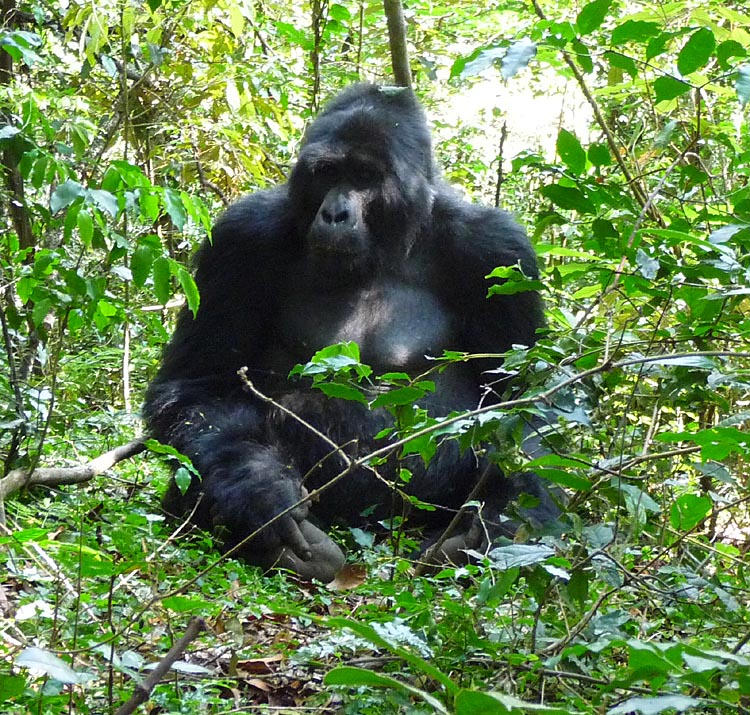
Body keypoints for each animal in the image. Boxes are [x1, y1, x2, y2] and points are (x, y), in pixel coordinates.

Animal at [145, 82, 560, 580]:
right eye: (327, 173)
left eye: (364, 177)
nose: (335, 214)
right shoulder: (239, 237)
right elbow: (197, 386)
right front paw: (258, 491)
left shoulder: (500, 250)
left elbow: (525, 408)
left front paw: (505, 516)